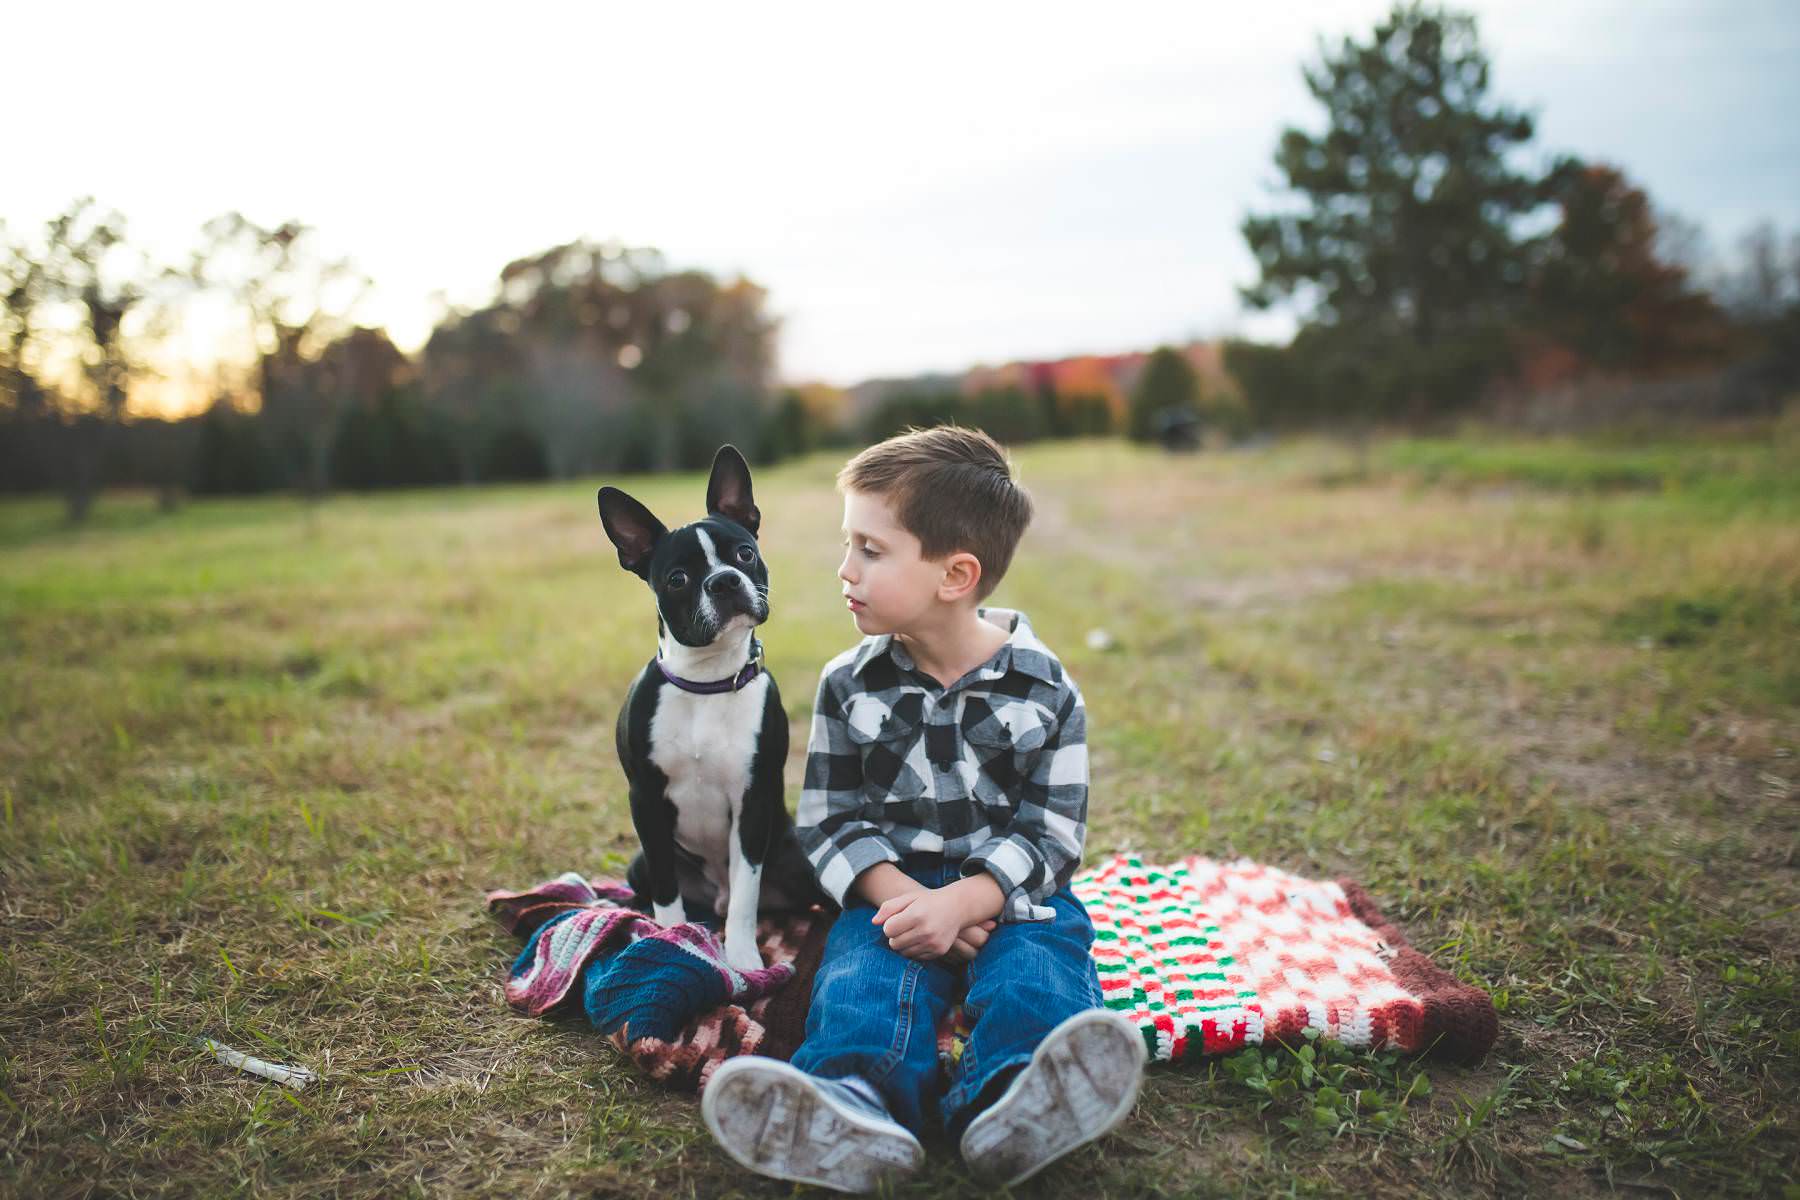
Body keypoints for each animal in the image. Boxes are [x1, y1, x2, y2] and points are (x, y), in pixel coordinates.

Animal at [597, 446, 824, 971]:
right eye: (678, 578)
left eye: (744, 553)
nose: (724, 582)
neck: (707, 681)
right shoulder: (646, 802)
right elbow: (667, 890)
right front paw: (671, 938)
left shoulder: (752, 802)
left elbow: (745, 897)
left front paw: (743, 961)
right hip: (637, 863)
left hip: (799, 865)